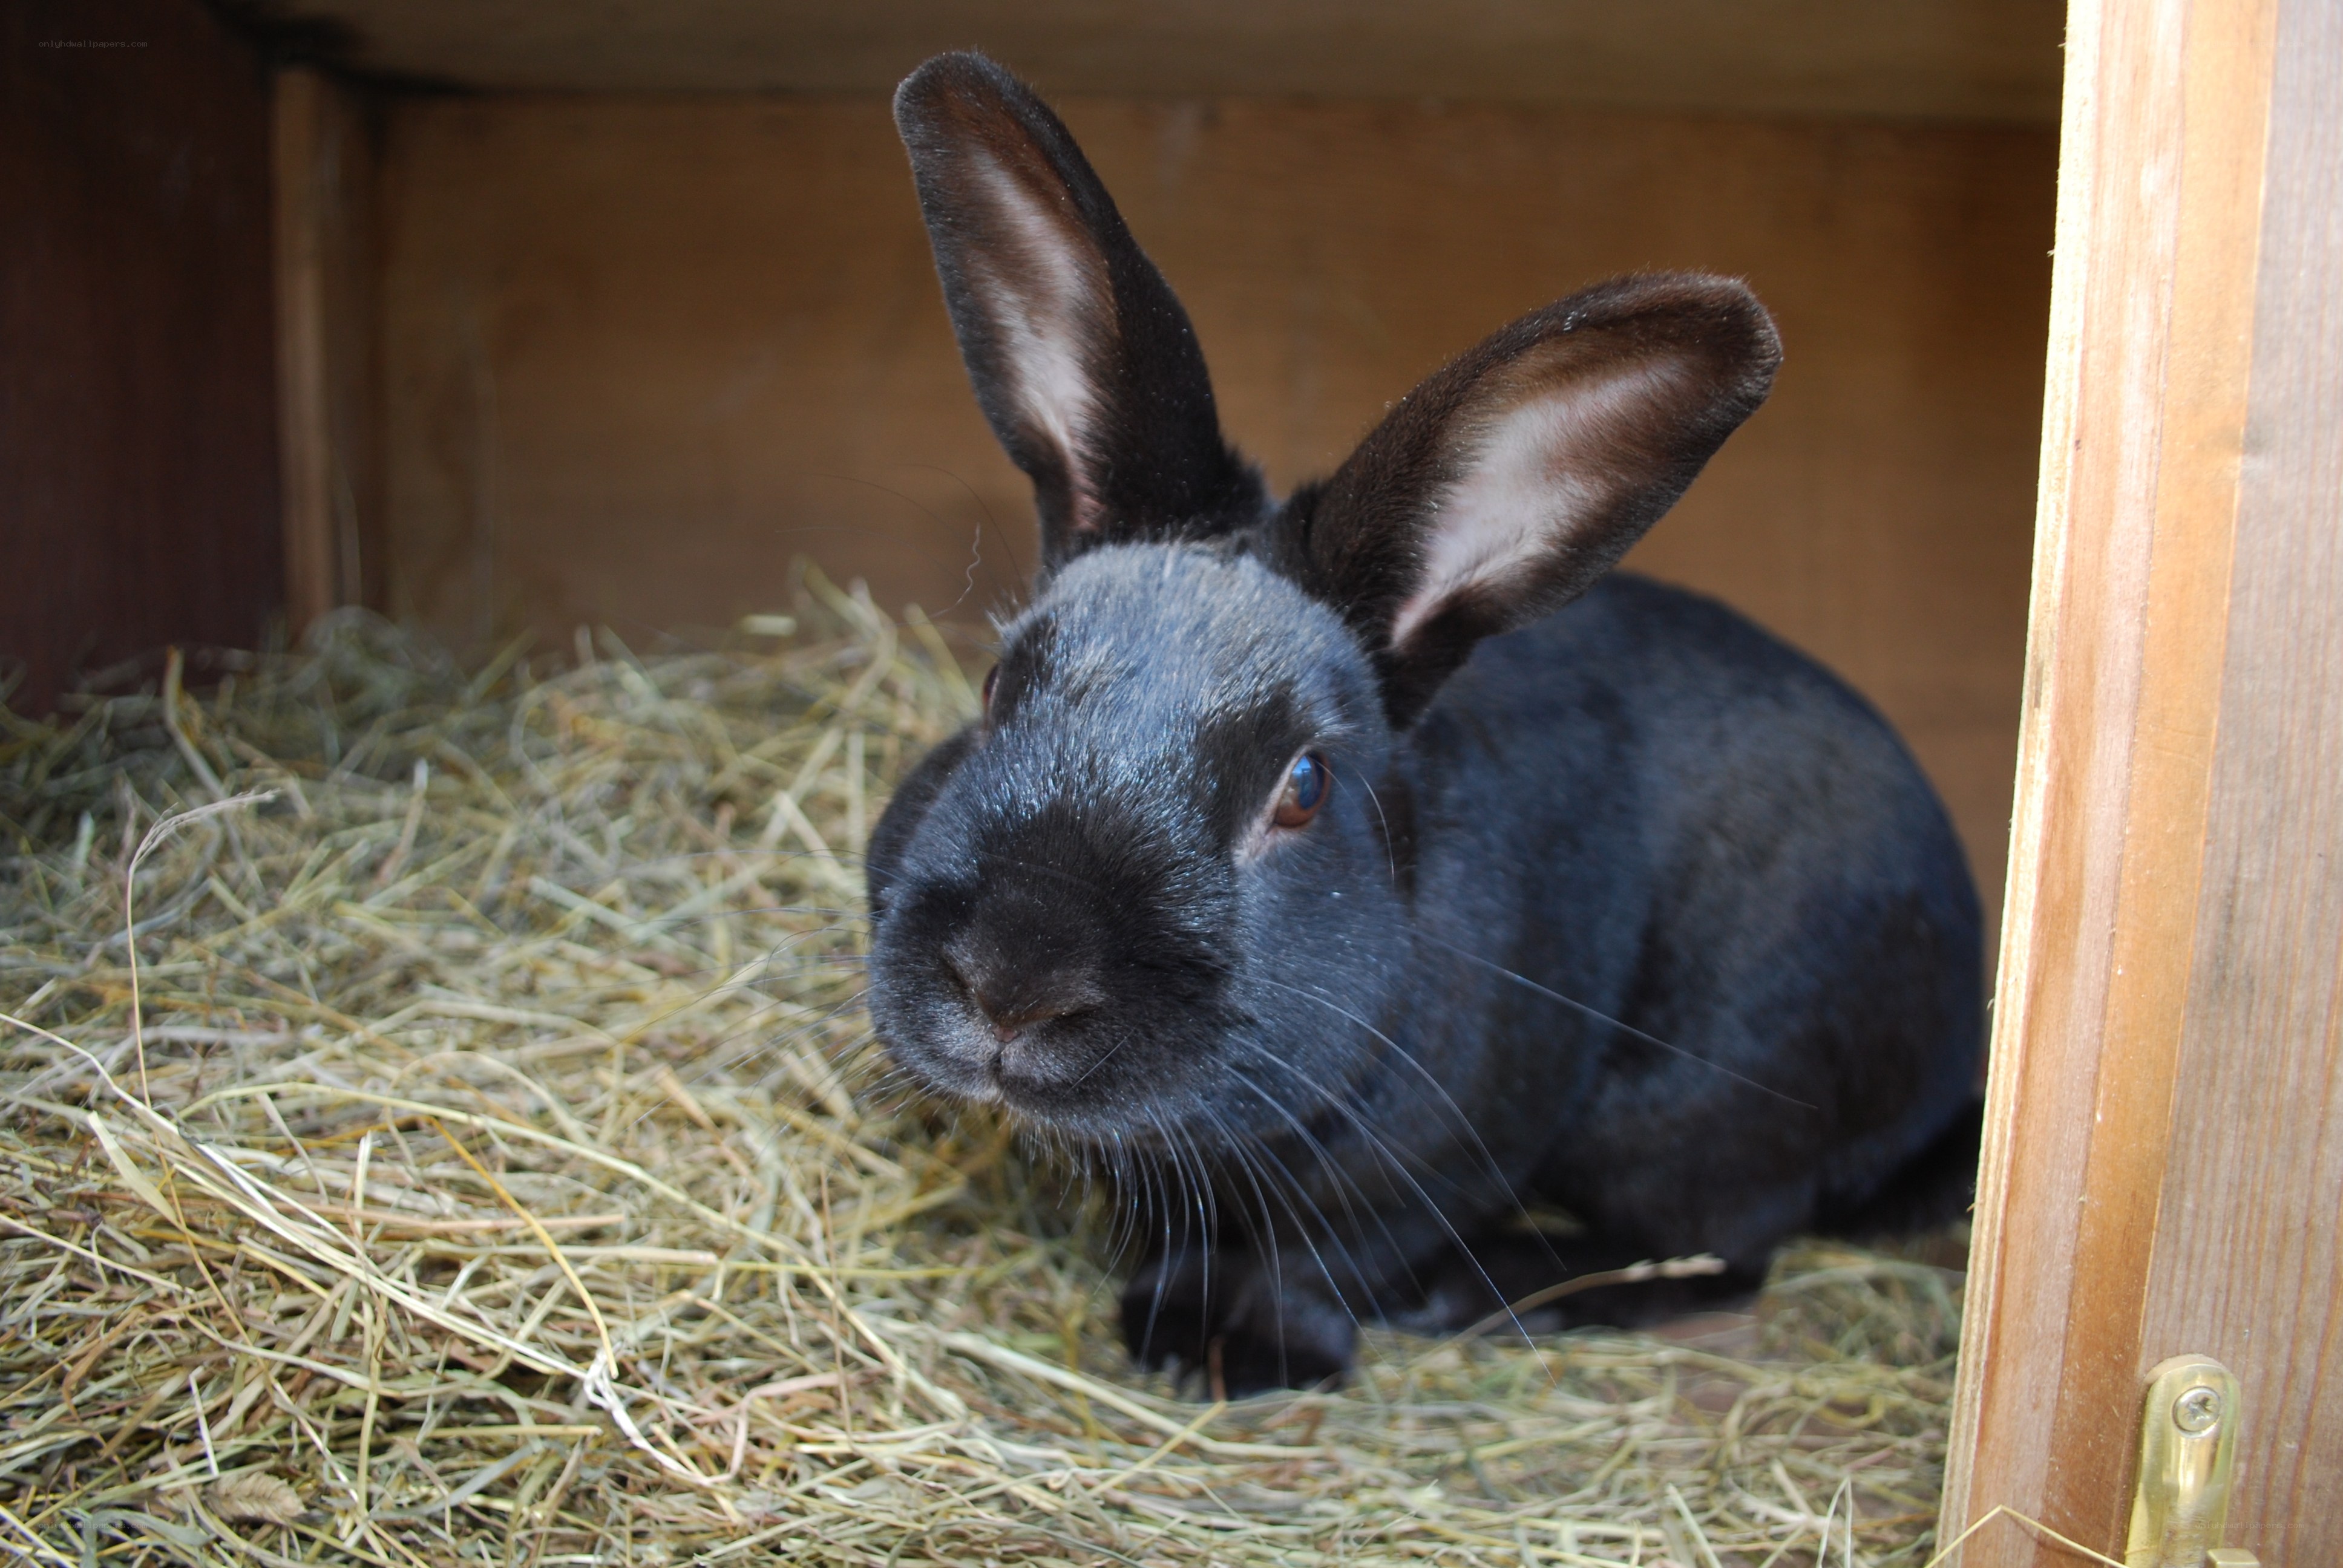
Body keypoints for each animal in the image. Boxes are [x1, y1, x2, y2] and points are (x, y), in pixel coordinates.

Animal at [863, 52, 1984, 1395]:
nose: (1010, 985)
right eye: (995, 690)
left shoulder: (1427, 1167)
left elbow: (1322, 1255)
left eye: (1304, 785)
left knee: (1724, 1249)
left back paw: (1487, 1286)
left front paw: (1222, 1350)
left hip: (1697, 1116)